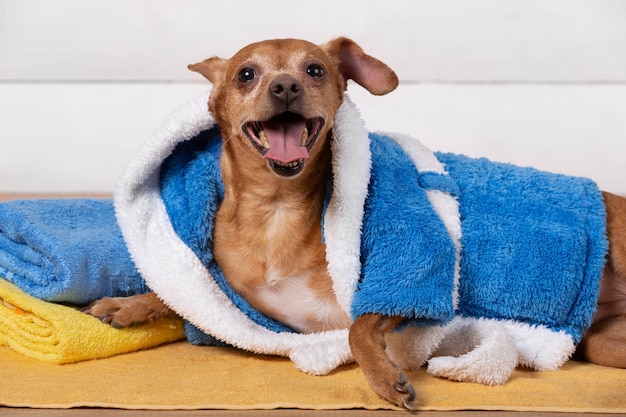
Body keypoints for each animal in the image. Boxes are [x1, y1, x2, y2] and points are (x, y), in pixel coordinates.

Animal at [83, 37, 624, 408]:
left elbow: (359, 329)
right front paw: (127, 305)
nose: (286, 85)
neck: (276, 210)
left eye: (316, 69)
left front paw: (384, 377)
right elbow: (179, 297)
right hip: (601, 342)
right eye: (245, 74)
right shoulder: (228, 292)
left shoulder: (408, 275)